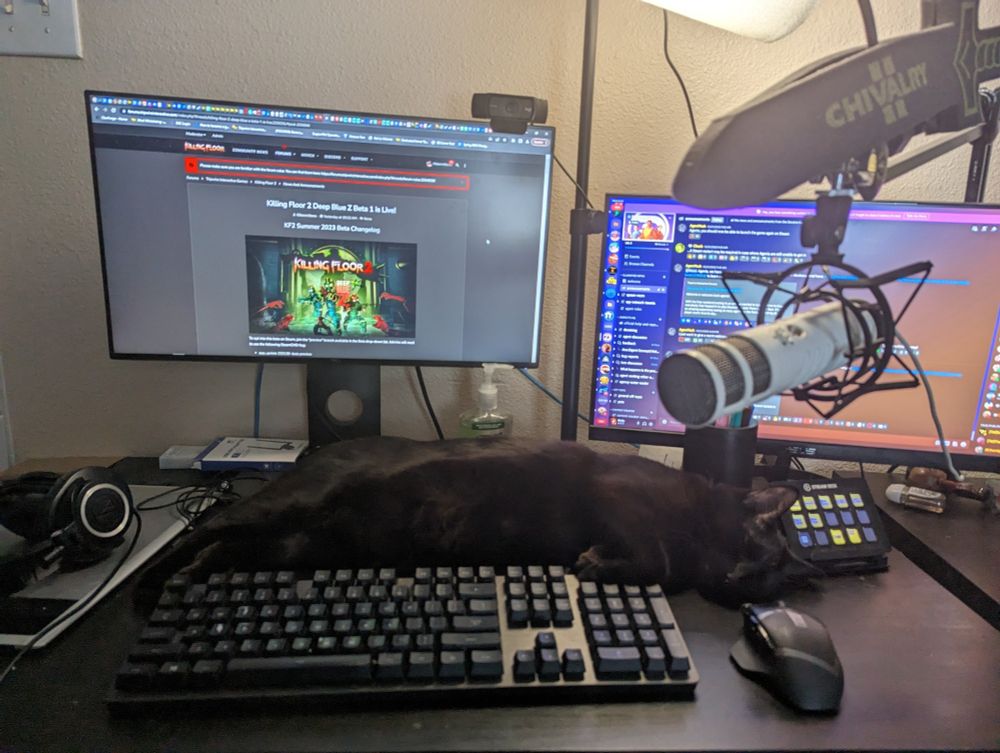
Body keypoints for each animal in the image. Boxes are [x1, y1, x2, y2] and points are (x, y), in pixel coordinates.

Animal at [137, 436, 801, 608]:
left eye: (768, 584)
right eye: (756, 546)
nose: (739, 580)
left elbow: (660, 565)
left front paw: (598, 560)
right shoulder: (616, 492)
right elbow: (656, 560)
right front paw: (595, 562)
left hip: (301, 545)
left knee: (232, 549)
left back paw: (195, 574)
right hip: (291, 508)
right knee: (212, 527)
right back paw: (154, 582)